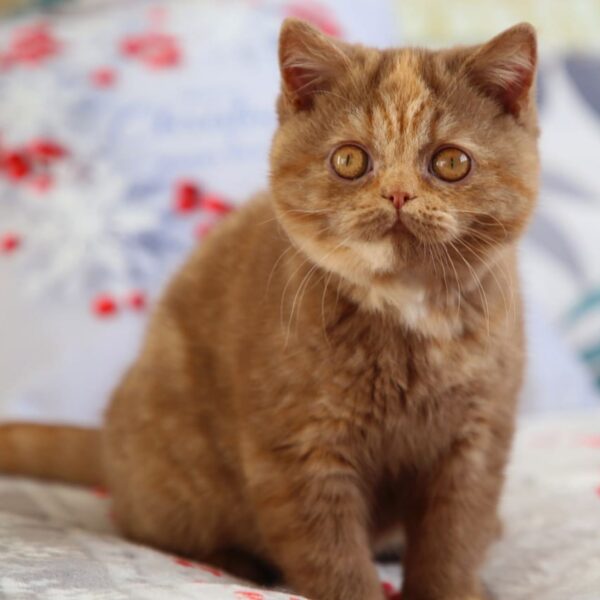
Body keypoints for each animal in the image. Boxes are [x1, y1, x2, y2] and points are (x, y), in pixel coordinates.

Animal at [0, 18, 540, 600]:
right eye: (350, 160)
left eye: (451, 162)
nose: (397, 195)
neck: (407, 307)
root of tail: (106, 442)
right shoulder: (300, 448)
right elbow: (332, 554)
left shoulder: (477, 442)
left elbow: (454, 540)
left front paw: (459, 584)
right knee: (149, 526)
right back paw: (235, 562)